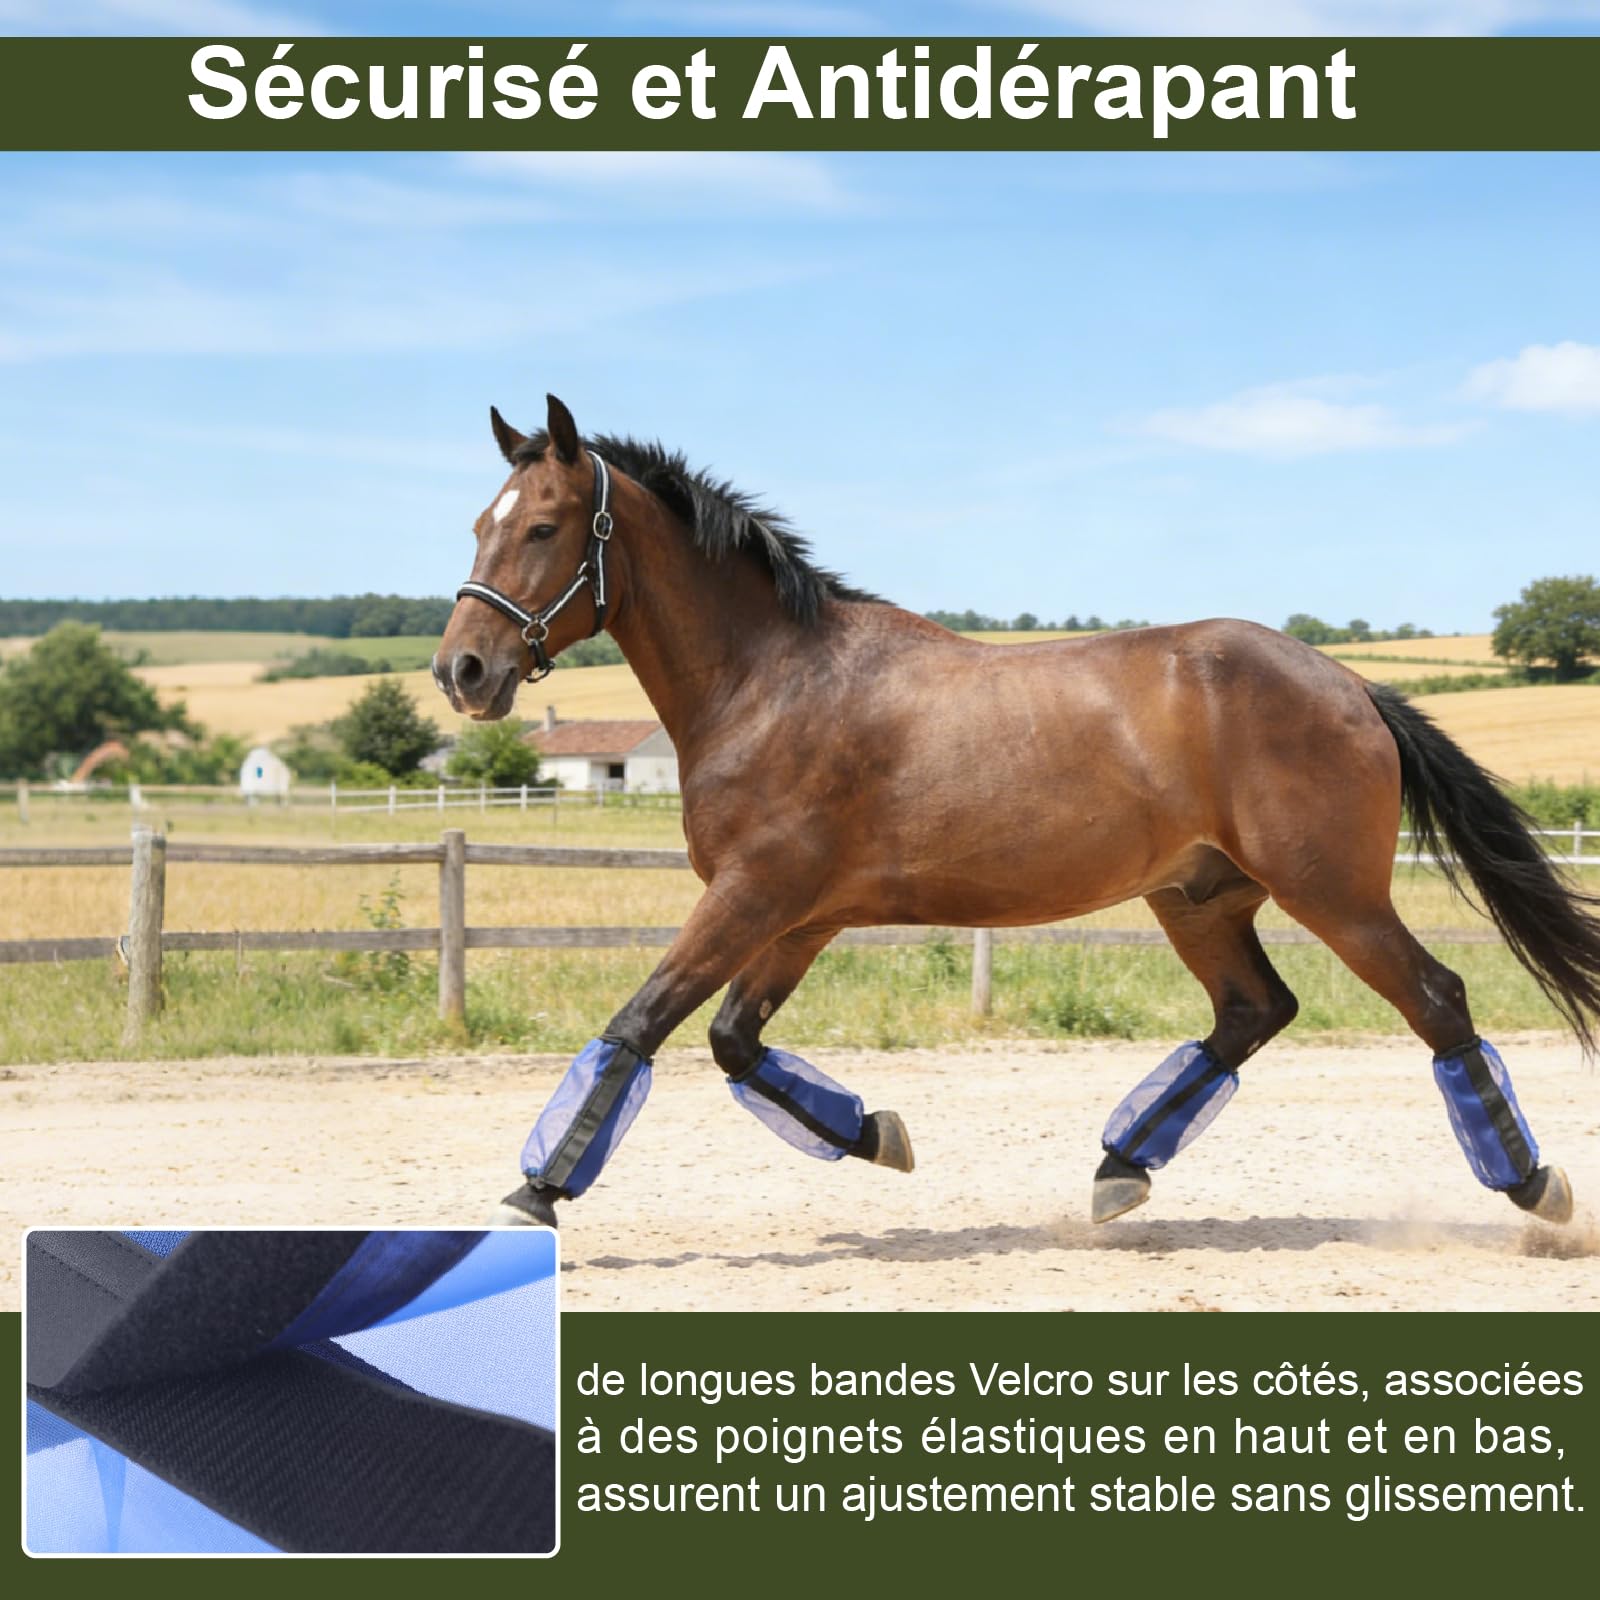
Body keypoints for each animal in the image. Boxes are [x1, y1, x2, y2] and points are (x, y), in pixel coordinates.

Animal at [433, 394, 1597, 1232]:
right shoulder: (798, 916)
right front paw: (879, 1133)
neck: (770, 681)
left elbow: (639, 1024)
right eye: (480, 525)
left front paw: (534, 1193)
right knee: (1252, 1011)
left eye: (543, 527)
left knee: (1436, 1000)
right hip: (1200, 896)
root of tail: (1350, 683)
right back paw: (1119, 1171)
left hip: (1333, 892)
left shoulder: (753, 895)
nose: (463, 671)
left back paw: (1535, 1189)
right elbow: (730, 1041)